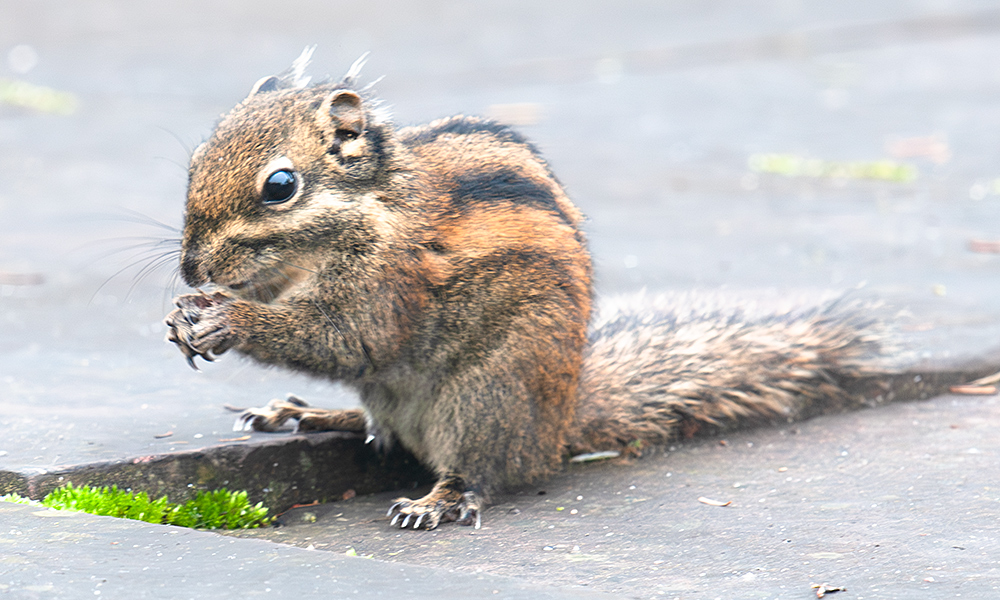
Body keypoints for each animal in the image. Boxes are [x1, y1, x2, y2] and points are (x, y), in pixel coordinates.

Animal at [162, 51, 992, 528]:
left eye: (280, 186)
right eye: (195, 161)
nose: (192, 270)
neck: (364, 213)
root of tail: (559, 429)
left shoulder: (389, 286)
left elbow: (346, 337)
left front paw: (227, 319)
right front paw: (185, 316)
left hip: (485, 396)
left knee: (482, 469)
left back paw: (441, 500)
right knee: (379, 429)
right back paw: (306, 413)